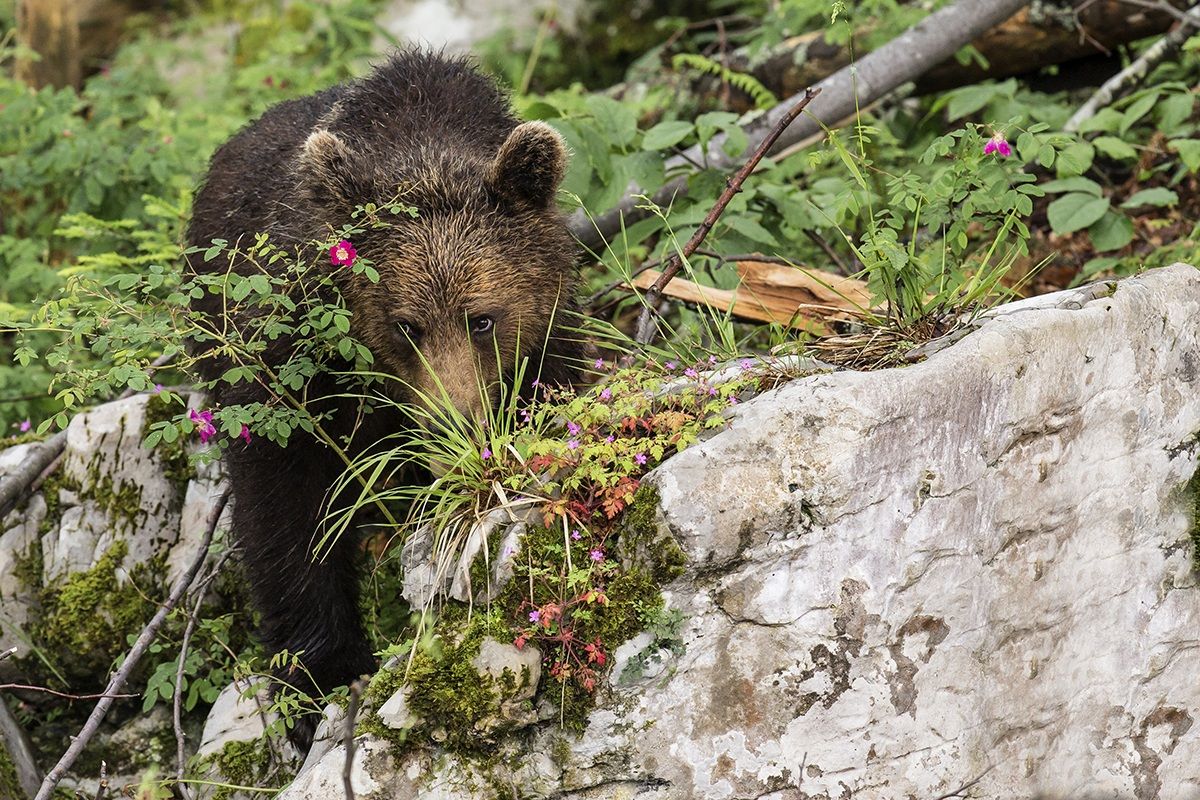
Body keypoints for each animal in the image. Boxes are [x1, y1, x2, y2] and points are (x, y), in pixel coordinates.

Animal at [185, 49, 587, 746]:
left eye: (482, 319)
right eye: (406, 326)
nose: (458, 434)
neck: (421, 143)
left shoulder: (546, 333)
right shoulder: (291, 360)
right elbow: (283, 503)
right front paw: (320, 671)